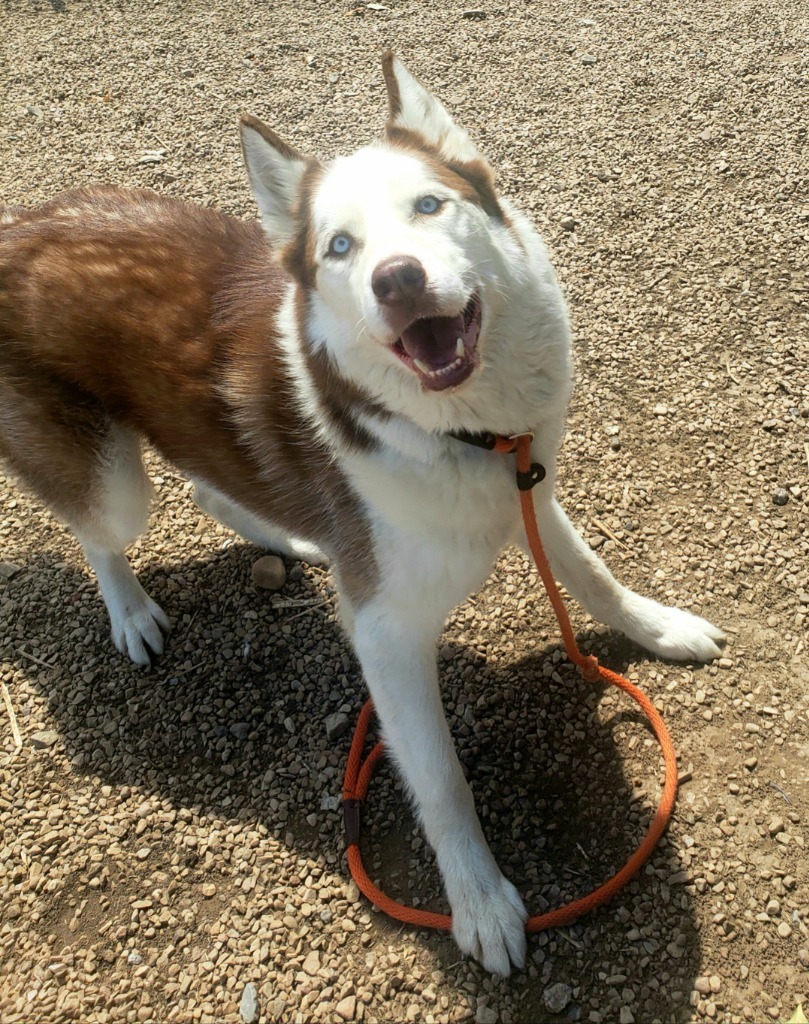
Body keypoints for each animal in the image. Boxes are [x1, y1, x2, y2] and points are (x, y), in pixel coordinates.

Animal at [0, 51, 725, 970]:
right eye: (339, 247)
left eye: (428, 204)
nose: (398, 278)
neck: (461, 433)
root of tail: (19, 223)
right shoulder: (385, 633)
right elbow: (441, 779)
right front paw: (478, 902)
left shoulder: (526, 482)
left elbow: (592, 574)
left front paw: (658, 627)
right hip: (113, 480)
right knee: (103, 536)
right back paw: (131, 612)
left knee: (209, 485)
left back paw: (291, 537)